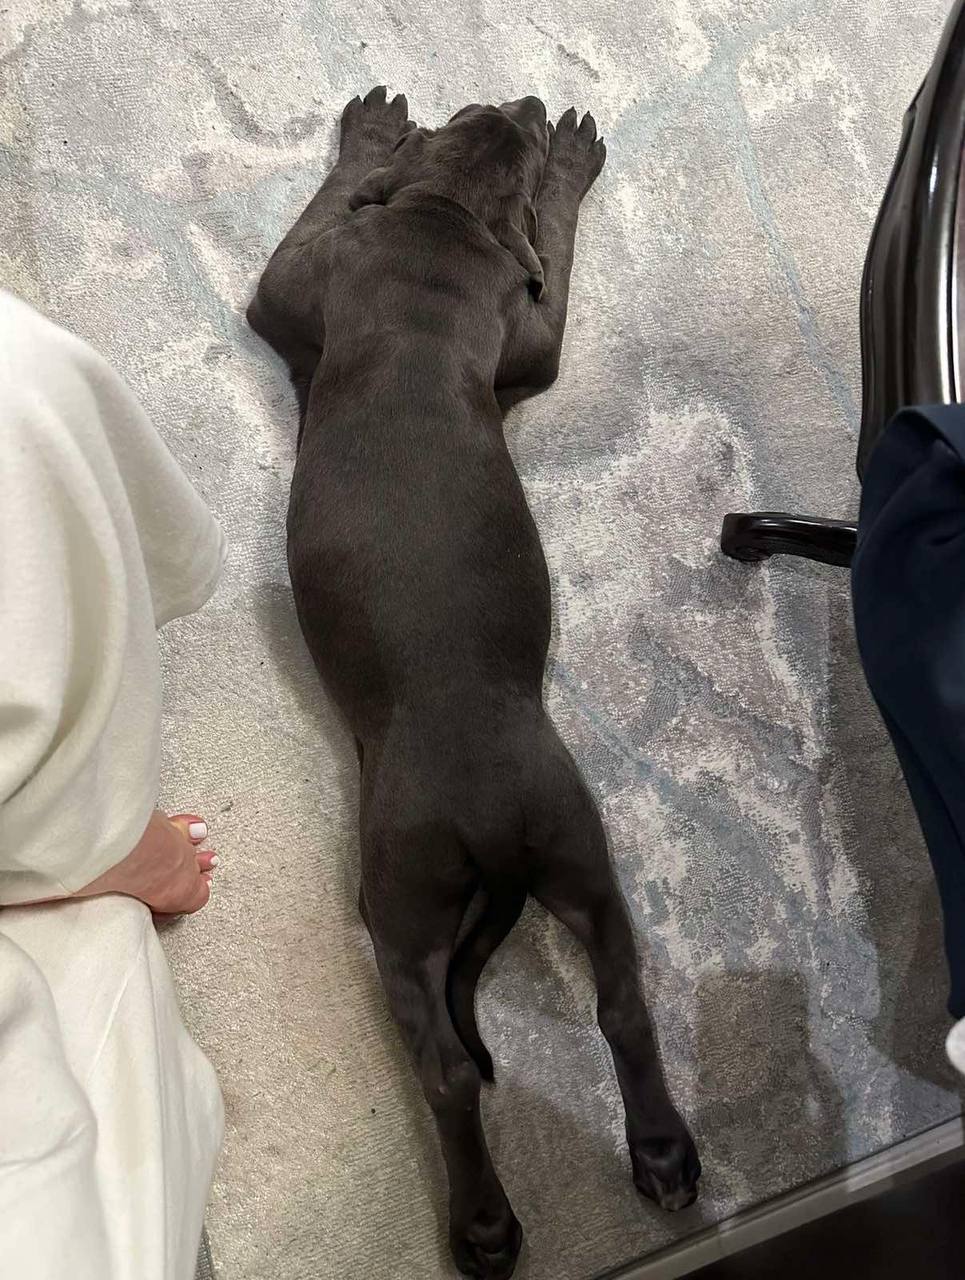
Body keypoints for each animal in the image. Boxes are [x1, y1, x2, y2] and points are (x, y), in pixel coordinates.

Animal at [248, 87, 700, 1280]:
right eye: (491, 120)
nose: (534, 105)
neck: (444, 221)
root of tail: (487, 816)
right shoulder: (523, 334)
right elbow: (550, 285)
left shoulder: (295, 280)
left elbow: (312, 225)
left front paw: (369, 135)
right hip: (579, 848)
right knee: (624, 1008)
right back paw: (664, 1152)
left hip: (397, 900)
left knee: (447, 1066)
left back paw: (484, 1225)